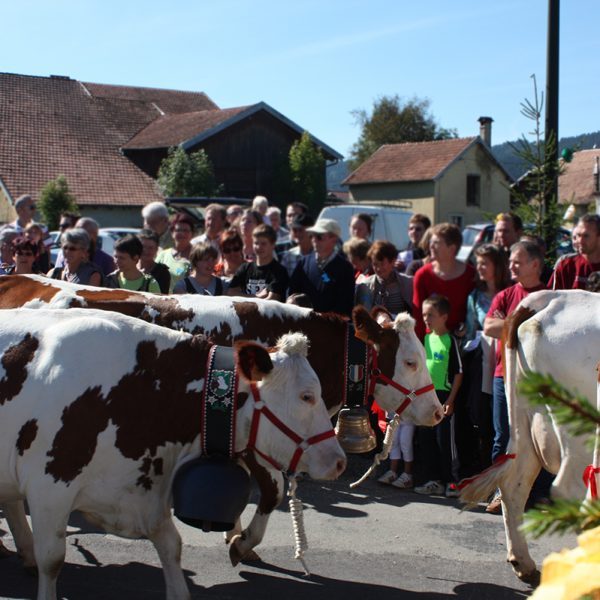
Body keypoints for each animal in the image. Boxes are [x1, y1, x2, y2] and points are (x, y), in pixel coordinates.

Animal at [0, 310, 344, 600]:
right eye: (307, 397)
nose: (340, 461)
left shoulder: (145, 491)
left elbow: (171, 547)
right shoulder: (49, 488)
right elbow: (52, 560)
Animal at [462, 290, 596, 580]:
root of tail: (547, 298)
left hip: (523, 420)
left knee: (515, 483)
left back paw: (523, 564)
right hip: (577, 426)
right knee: (570, 489)